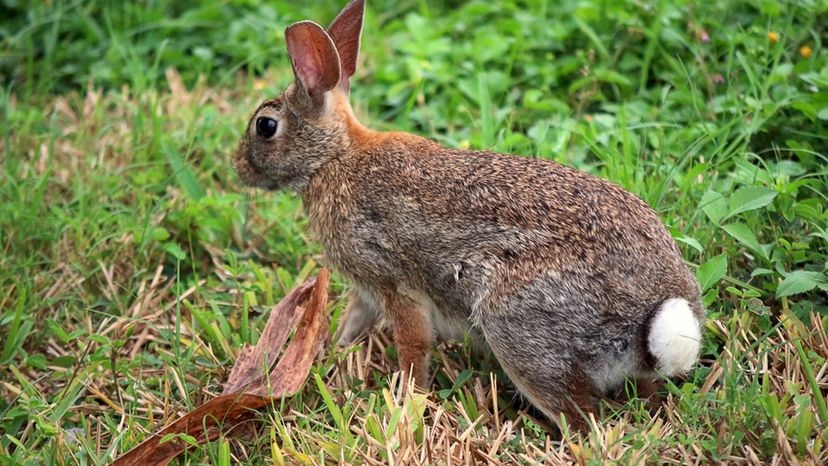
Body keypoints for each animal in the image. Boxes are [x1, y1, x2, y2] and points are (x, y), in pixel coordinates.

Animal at [234, 0, 704, 432]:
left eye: (265, 126)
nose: (238, 168)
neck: (334, 158)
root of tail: (651, 318)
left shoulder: (391, 280)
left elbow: (414, 345)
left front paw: (407, 400)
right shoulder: (366, 288)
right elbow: (354, 320)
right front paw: (336, 352)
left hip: (516, 329)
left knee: (581, 417)